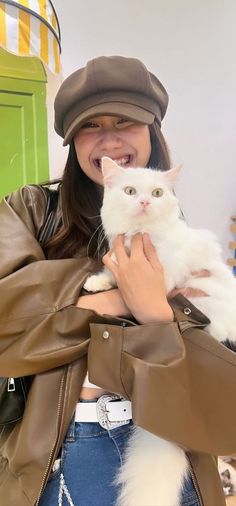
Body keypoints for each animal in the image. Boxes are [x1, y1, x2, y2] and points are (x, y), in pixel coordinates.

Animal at [84, 158, 235, 506]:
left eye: (156, 193)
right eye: (130, 191)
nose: (144, 202)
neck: (140, 237)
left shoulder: (165, 275)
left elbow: (128, 290)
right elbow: (110, 274)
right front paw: (96, 282)